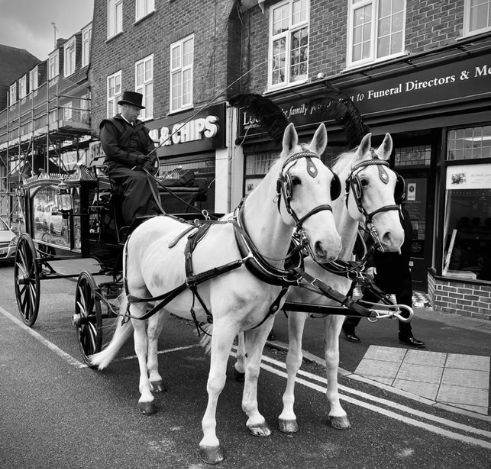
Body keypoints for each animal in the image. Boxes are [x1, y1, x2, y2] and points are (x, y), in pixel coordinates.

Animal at [88, 122, 342, 462]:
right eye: (295, 180)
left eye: (331, 182)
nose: (330, 246)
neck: (249, 251)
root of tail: (142, 224)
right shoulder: (224, 326)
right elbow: (216, 381)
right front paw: (210, 438)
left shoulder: (263, 324)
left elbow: (253, 369)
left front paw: (254, 417)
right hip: (138, 299)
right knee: (140, 344)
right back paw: (145, 395)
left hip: (161, 299)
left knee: (153, 336)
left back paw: (155, 378)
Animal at [236, 130, 406, 434]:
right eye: (363, 182)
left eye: (395, 183)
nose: (394, 237)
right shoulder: (297, 313)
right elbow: (294, 359)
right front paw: (288, 414)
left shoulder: (338, 313)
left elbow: (333, 359)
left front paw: (336, 409)